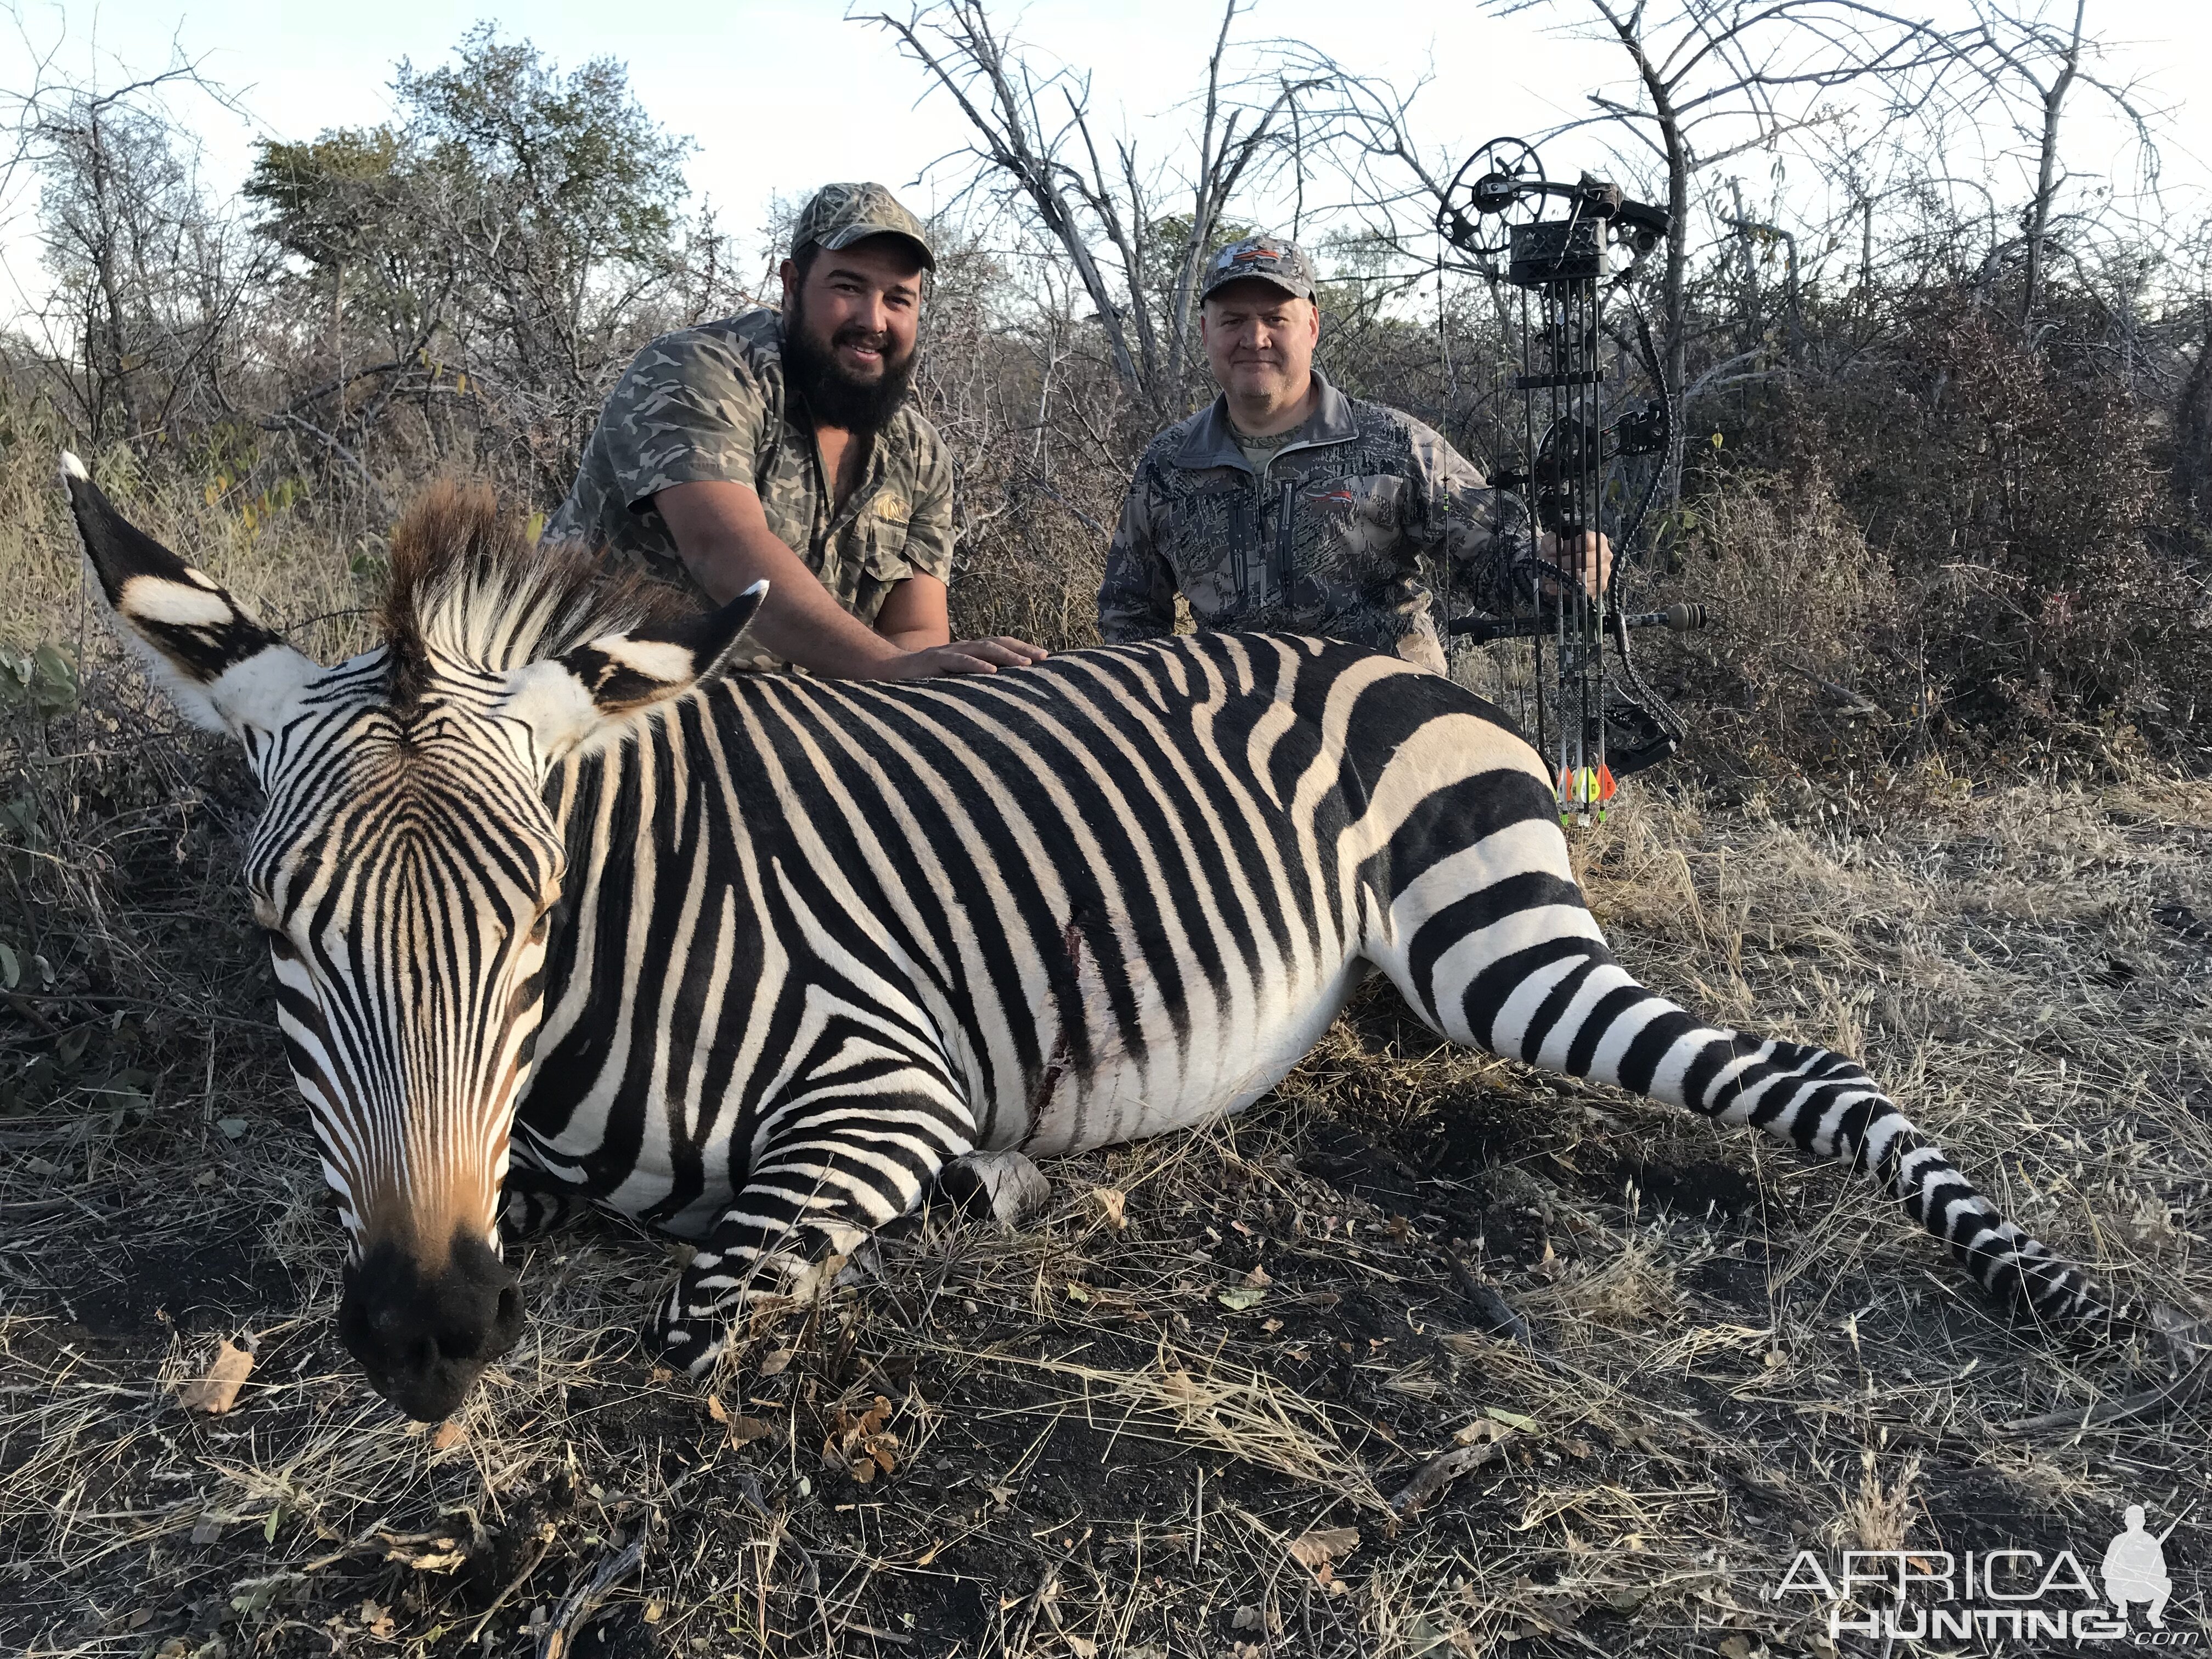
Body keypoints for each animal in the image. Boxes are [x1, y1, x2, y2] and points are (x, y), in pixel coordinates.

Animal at [60, 462, 2185, 1424]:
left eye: (529, 924)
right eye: (278, 933)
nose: (426, 1338)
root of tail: (1397, 658)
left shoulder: (886, 1081)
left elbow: (702, 1305)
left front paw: (944, 1217)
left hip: (1496, 939)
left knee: (1813, 1069)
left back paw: (2065, 1296)